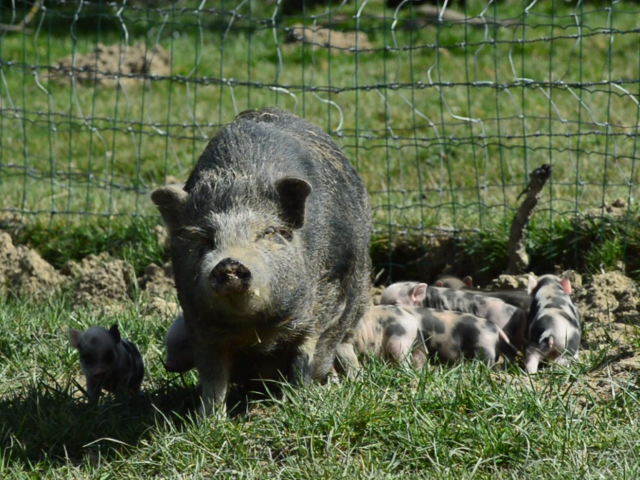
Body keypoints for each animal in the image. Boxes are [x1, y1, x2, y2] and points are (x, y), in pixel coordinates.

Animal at [151, 107, 370, 414]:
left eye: (266, 233)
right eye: (205, 239)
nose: (229, 263)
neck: (254, 329)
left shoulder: (320, 308)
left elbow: (304, 358)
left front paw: (293, 404)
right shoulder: (200, 326)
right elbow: (213, 378)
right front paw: (209, 419)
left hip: (360, 297)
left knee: (345, 345)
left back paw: (352, 379)